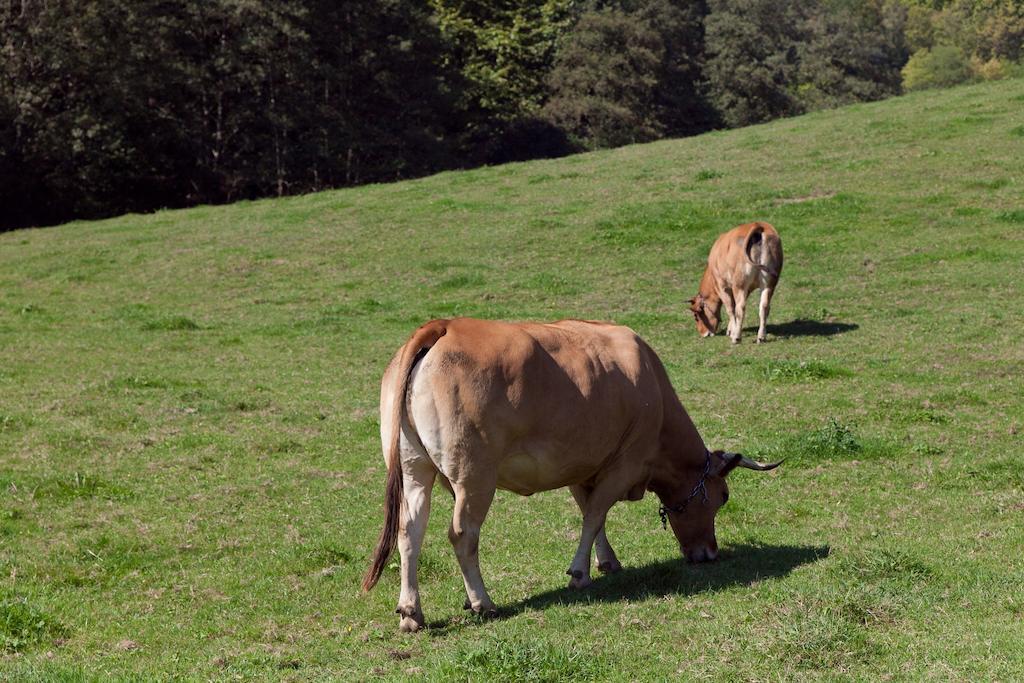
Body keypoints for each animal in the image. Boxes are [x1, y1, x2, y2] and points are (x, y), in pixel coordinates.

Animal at [364, 317, 778, 634]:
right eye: (722, 497)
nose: (709, 553)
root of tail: (445, 326)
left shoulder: (584, 464)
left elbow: (591, 515)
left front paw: (606, 561)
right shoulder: (626, 463)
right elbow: (595, 514)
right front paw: (580, 573)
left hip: (414, 468)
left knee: (409, 531)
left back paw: (412, 613)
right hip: (474, 477)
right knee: (462, 534)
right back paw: (483, 602)